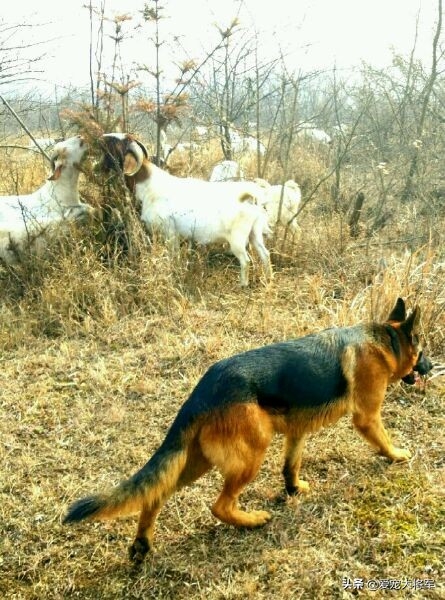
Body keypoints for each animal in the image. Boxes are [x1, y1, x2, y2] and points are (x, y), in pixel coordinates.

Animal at [62, 298, 430, 564]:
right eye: (423, 351)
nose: (432, 367)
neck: (385, 340)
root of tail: (202, 391)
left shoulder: (296, 431)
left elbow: (291, 466)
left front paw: (293, 490)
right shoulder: (367, 417)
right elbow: (382, 439)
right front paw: (397, 455)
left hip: (196, 462)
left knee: (156, 493)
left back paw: (142, 543)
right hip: (251, 454)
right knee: (219, 506)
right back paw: (252, 520)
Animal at [99, 133, 270, 286]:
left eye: (117, 142)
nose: (100, 138)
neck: (149, 186)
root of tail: (249, 198)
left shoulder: (169, 231)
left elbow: (173, 255)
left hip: (237, 240)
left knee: (245, 260)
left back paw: (243, 284)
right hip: (254, 234)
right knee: (265, 254)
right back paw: (268, 278)